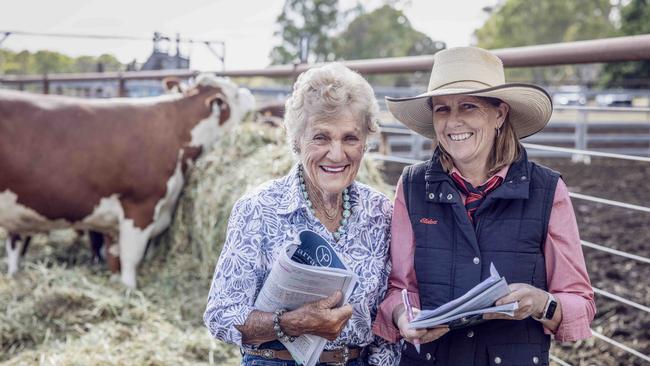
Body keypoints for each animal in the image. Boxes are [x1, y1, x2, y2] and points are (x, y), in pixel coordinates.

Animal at [1, 75, 254, 286]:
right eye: (234, 95)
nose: (250, 96)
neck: (176, 131)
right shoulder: (140, 207)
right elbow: (131, 258)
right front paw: (129, 289)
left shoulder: (114, 221)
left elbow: (114, 256)